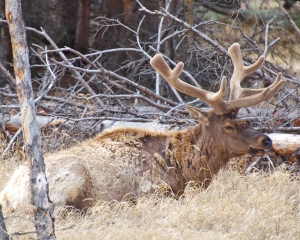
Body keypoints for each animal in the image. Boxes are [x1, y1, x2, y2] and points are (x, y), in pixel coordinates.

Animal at [1, 43, 284, 210]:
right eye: (228, 127)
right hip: (69, 182)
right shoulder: (151, 193)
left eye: (244, 120)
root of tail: (8, 194)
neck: (181, 171)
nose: (266, 140)